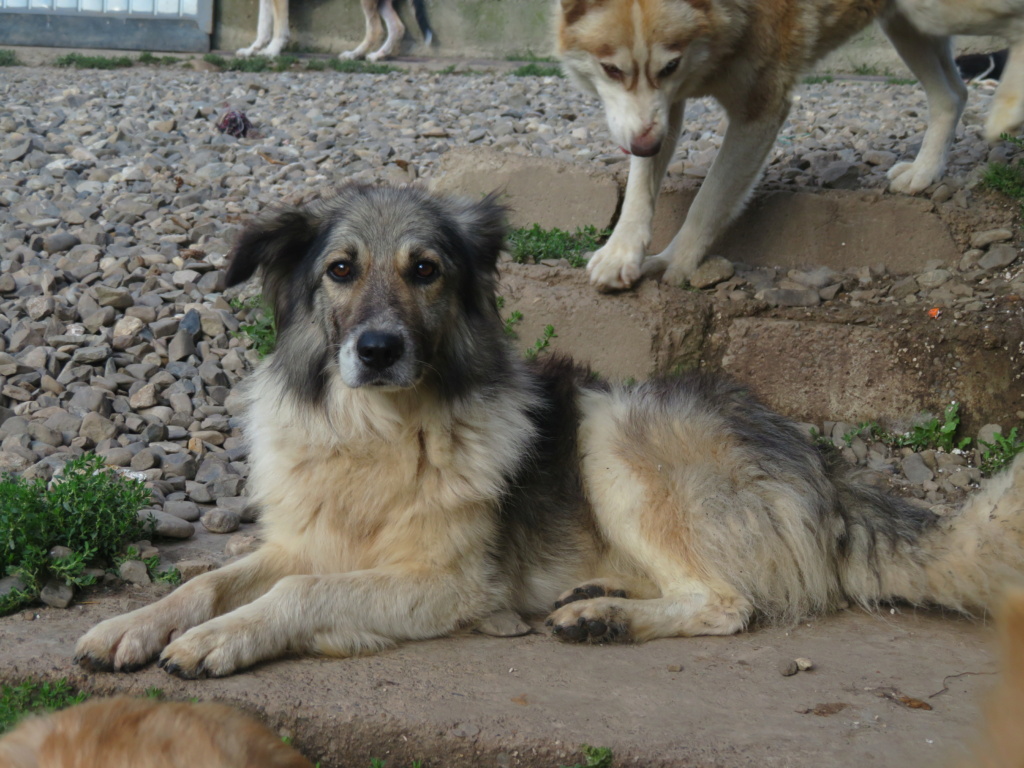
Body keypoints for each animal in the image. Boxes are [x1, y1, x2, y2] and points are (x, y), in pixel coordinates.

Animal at [74, 186, 1024, 679]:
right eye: (340, 270)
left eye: (426, 271)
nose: (377, 350)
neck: (379, 433)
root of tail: (828, 474)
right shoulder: (303, 539)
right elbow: (212, 579)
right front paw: (138, 625)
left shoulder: (449, 584)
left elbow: (299, 595)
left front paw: (220, 639)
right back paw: (594, 597)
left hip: (616, 431)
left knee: (730, 604)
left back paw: (601, 619)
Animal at [236, 0, 432, 60]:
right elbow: (263, 26)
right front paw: (252, 50)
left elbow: (279, 29)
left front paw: (272, 51)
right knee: (397, 27)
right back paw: (377, 55)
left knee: (376, 30)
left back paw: (354, 55)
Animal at [557, 0, 1024, 290]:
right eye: (611, 69)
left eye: (669, 64)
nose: (645, 147)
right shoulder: (660, 113)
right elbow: (641, 187)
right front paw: (620, 253)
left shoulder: (761, 109)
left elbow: (709, 200)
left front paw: (676, 261)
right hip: (910, 23)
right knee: (953, 94)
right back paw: (925, 171)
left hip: (936, 11)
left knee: (1012, 28)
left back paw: (1008, 109)